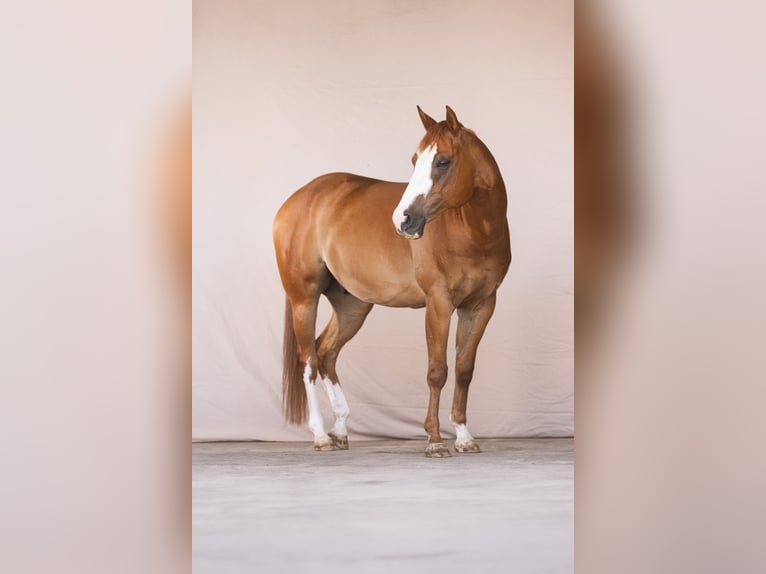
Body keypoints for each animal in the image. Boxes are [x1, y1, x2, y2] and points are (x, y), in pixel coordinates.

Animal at [272, 106, 511, 457]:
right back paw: (320, 436)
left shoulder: (481, 305)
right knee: (309, 360)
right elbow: (437, 371)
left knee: (326, 351)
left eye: (442, 161)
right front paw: (435, 440)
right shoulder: (439, 303)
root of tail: (297, 199)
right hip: (304, 298)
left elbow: (464, 369)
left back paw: (340, 431)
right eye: (415, 160)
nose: (403, 219)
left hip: (352, 306)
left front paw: (464, 437)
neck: (472, 233)